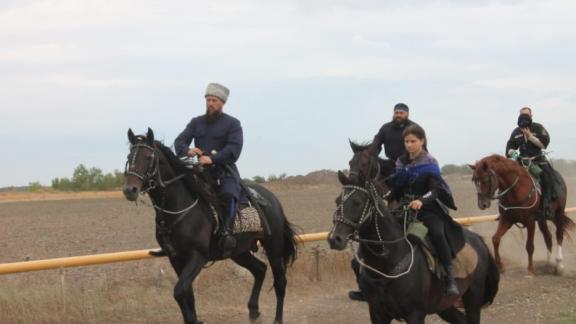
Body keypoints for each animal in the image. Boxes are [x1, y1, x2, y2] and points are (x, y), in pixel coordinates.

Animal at [124, 128, 300, 324]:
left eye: (148, 157)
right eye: (129, 156)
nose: (130, 190)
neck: (178, 208)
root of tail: (273, 200)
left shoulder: (197, 257)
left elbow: (179, 291)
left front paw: (195, 320)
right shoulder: (175, 258)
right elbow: (187, 294)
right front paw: (193, 319)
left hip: (273, 247)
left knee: (280, 282)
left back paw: (277, 318)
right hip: (239, 251)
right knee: (260, 270)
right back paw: (254, 311)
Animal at [328, 143, 500, 324]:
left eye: (357, 202)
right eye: (337, 201)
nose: (335, 239)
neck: (387, 261)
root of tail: (479, 241)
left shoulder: (415, 314)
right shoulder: (377, 313)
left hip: (473, 299)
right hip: (445, 307)